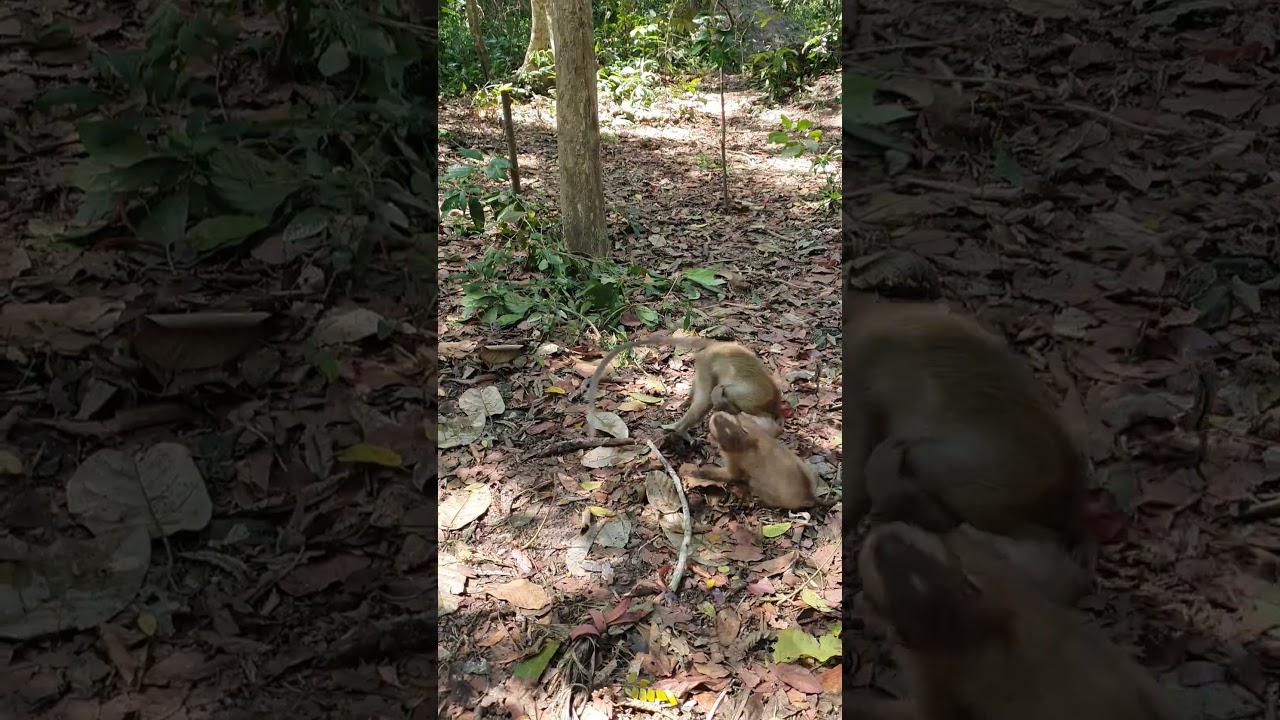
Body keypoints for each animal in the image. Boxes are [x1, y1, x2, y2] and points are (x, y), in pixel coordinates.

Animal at [585, 335, 785, 441]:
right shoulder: (751, 403)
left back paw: (686, 403)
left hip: (704, 363)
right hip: (708, 362)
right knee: (706, 400)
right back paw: (681, 429)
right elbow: (721, 396)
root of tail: (717, 345)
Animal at [693, 410, 825, 510]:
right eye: (726, 418)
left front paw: (699, 473)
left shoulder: (732, 456)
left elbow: (733, 475)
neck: (743, 440)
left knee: (755, 484)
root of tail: (809, 494)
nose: (717, 415)